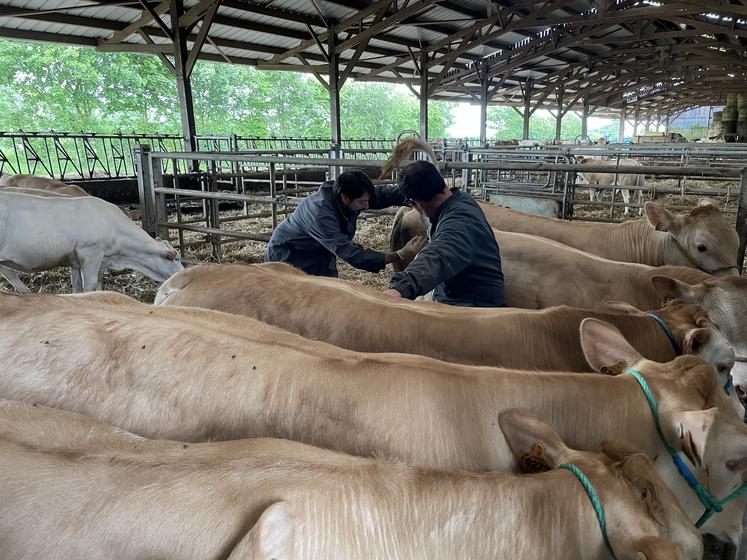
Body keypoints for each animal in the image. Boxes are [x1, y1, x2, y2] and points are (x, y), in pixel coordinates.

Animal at [0, 190, 183, 294]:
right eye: (175, 258)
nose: (184, 272)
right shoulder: (90, 252)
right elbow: (90, 285)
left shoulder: (74, 259)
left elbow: (77, 286)